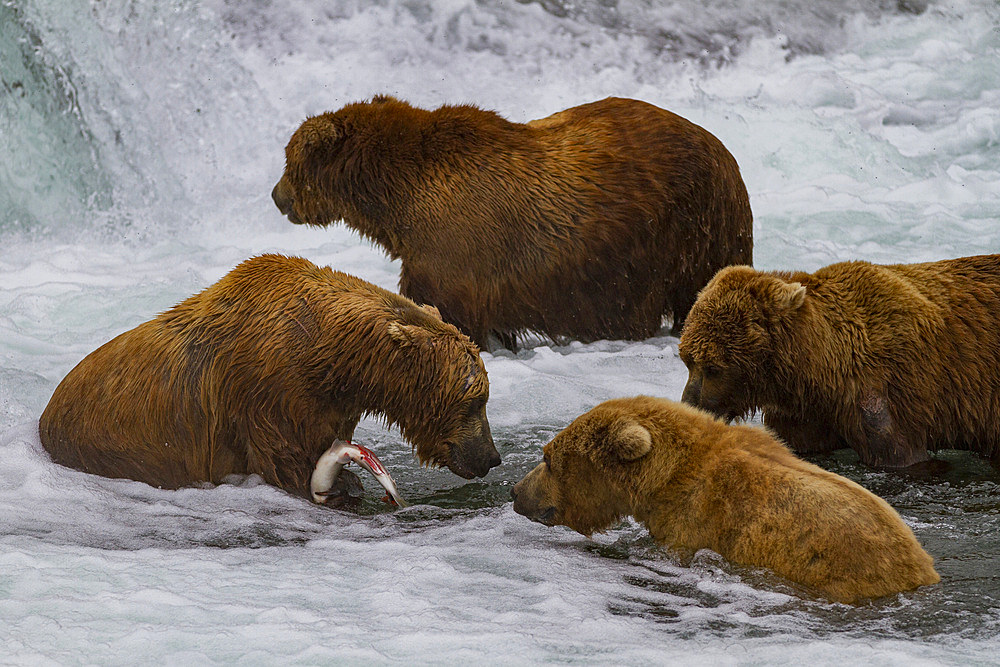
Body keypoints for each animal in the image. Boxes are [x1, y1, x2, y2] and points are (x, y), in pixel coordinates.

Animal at [38, 254, 500, 500]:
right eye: (474, 399)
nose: (491, 456)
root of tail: (46, 414)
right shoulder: (267, 391)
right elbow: (282, 455)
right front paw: (344, 484)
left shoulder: (331, 401)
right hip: (113, 445)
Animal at [270, 96, 752, 352]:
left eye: (289, 161)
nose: (277, 196)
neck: (399, 199)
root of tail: (723, 149)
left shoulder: (454, 248)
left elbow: (441, 306)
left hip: (692, 227)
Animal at [676, 256, 1000, 470]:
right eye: (687, 360)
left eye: (714, 367)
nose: (691, 404)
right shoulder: (804, 415)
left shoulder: (885, 398)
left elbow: (901, 456)